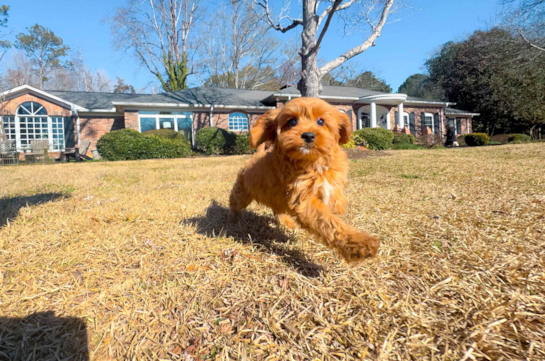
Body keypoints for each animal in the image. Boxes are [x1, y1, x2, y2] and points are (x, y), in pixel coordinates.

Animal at [228, 97, 378, 262]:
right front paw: (359, 243)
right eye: (292, 121)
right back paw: (233, 217)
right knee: (235, 199)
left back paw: (286, 222)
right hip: (244, 192)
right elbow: (329, 222)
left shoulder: (331, 184)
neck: (313, 163)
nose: (308, 135)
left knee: (277, 209)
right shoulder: (303, 199)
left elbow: (337, 203)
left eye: (321, 121)